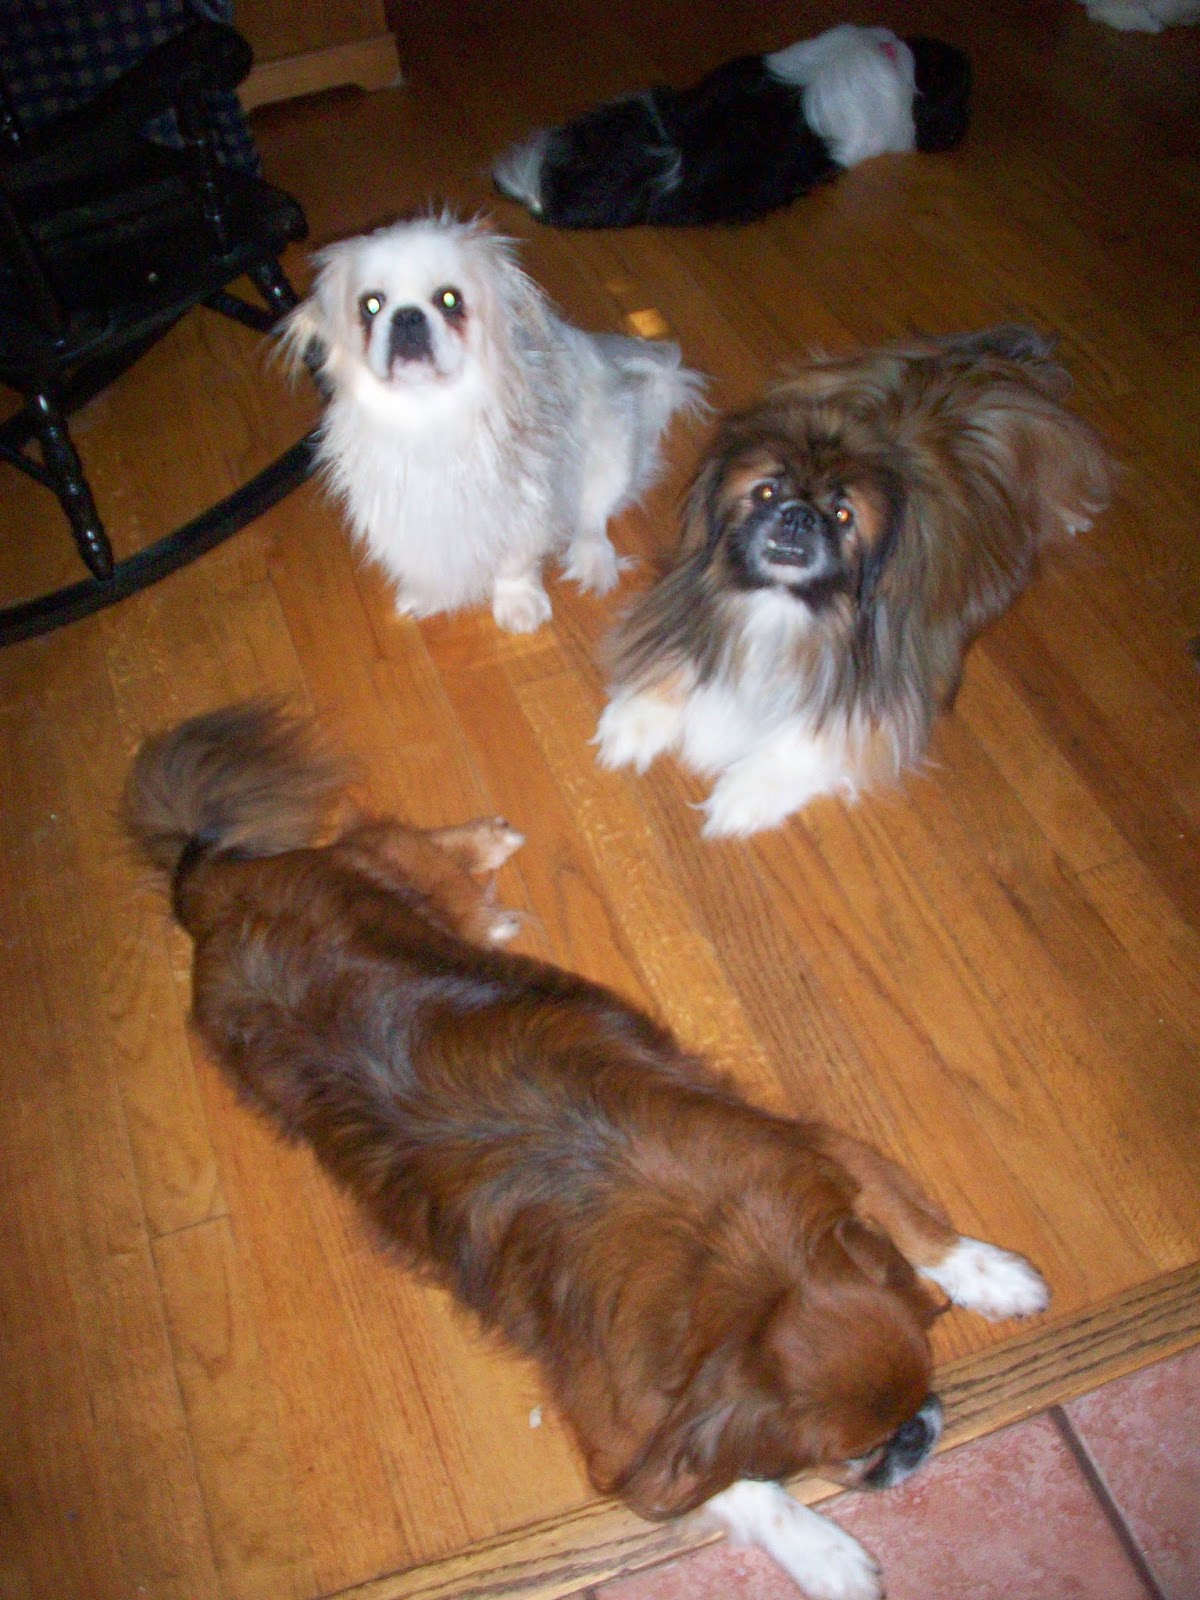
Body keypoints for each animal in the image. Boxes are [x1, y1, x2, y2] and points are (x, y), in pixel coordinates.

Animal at [125, 701, 1049, 1600]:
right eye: (856, 1455)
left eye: (924, 1381)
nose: (924, 1432)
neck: (738, 1280)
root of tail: (213, 889)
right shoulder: (624, 1443)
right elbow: (741, 1491)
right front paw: (826, 1554)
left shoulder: (819, 1152)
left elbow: (920, 1228)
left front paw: (995, 1276)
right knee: (381, 840)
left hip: (384, 882)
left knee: (391, 843)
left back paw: (486, 857)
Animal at [279, 214, 702, 632]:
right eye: (370, 305)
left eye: (450, 300)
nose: (408, 316)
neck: (427, 411)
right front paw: (429, 594)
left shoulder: (525, 500)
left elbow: (516, 561)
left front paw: (518, 604)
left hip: (611, 447)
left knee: (593, 514)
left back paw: (592, 559)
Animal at [595, 325, 1113, 837]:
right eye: (766, 492)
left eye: (843, 515)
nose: (799, 516)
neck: (787, 603)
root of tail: (994, 362)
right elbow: (672, 661)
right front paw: (635, 722)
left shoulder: (880, 693)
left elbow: (810, 740)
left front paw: (745, 795)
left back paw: (1072, 516)